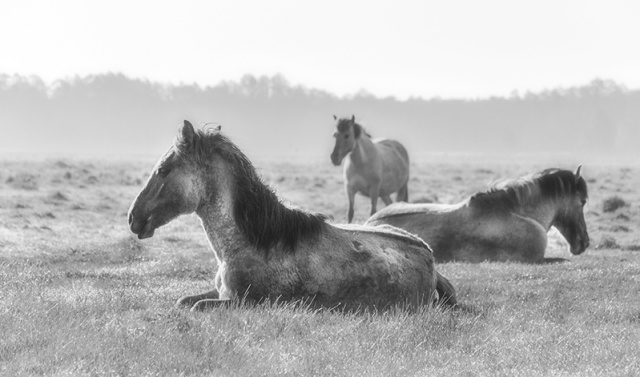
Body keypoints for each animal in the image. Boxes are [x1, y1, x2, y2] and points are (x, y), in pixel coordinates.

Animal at [127, 120, 456, 312]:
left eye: (163, 170)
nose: (133, 217)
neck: (250, 242)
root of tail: (429, 258)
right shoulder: (220, 293)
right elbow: (183, 301)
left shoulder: (244, 303)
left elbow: (194, 307)